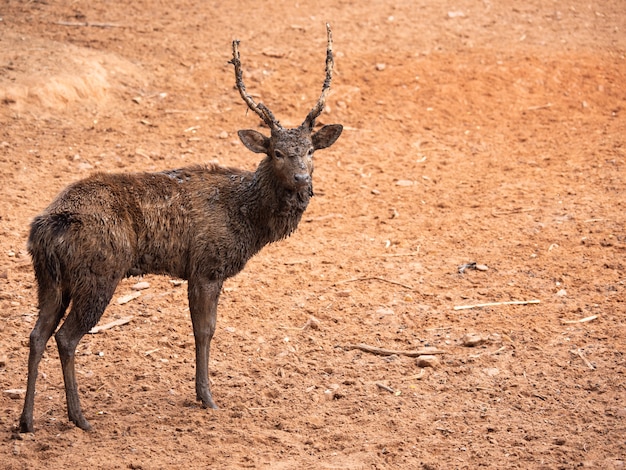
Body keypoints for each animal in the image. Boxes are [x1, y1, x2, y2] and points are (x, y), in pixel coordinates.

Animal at [18, 23, 342, 432]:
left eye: (311, 151)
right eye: (277, 152)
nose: (302, 179)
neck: (248, 220)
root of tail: (46, 227)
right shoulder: (206, 265)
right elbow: (204, 330)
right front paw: (207, 398)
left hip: (49, 279)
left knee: (36, 335)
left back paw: (26, 421)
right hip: (97, 274)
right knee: (65, 338)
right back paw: (79, 418)